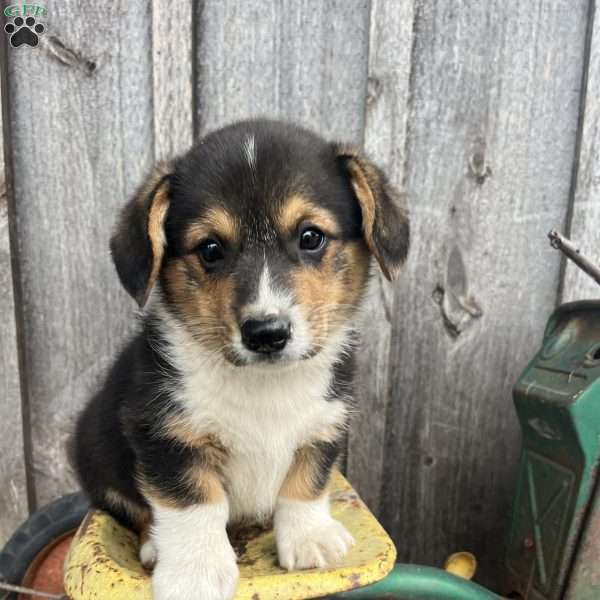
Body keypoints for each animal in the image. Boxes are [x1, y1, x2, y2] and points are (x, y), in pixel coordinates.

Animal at [69, 118, 408, 600]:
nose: (266, 333)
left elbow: (306, 482)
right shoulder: (164, 434)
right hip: (96, 451)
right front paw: (195, 573)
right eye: (210, 249)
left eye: (311, 237)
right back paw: (155, 546)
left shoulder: (325, 423)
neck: (265, 383)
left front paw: (310, 539)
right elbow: (194, 502)